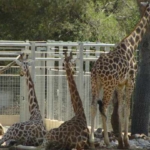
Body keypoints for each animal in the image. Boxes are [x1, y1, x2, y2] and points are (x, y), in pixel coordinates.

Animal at [90, 1, 150, 149]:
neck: (132, 45)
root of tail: (96, 69)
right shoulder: (130, 81)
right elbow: (127, 109)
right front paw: (126, 142)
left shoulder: (120, 84)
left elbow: (120, 110)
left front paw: (121, 141)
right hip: (108, 85)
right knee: (103, 106)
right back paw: (106, 141)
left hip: (95, 83)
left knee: (93, 105)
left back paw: (92, 140)